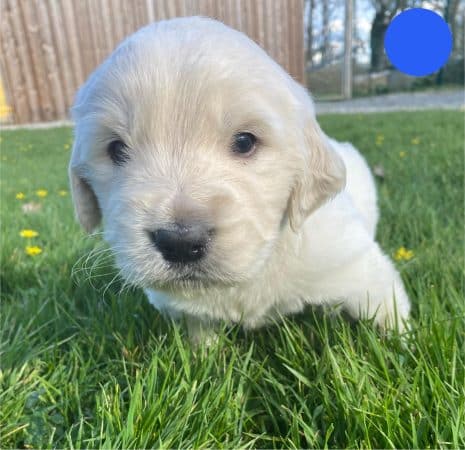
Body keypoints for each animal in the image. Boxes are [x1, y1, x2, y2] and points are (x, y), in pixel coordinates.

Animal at [69, 16, 410, 342]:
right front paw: (204, 355)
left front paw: (403, 344)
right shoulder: (191, 311)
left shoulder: (362, 270)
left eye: (245, 142)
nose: (180, 242)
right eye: (117, 149)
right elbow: (201, 334)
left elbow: (392, 316)